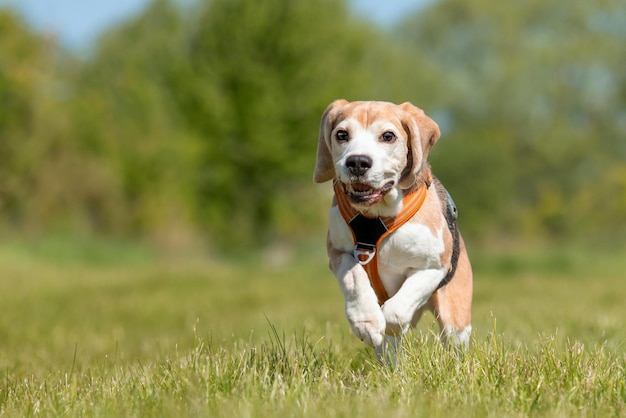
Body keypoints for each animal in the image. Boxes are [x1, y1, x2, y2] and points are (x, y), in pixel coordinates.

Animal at [314, 100, 470, 356]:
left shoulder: (434, 266)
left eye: (388, 136)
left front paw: (390, 322)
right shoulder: (337, 252)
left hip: (456, 321)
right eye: (342, 134)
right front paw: (366, 322)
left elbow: (395, 312)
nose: (357, 162)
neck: (378, 215)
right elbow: (354, 276)